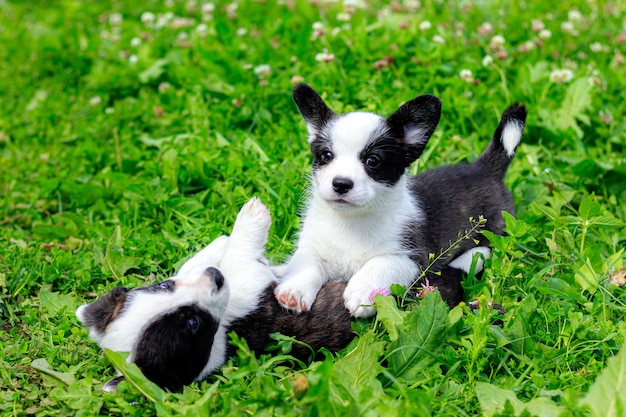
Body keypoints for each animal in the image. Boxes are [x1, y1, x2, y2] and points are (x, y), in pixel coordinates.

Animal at [75, 198, 354, 390]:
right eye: (192, 322)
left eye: (164, 286)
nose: (214, 274)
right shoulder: (252, 294)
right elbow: (239, 260)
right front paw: (250, 216)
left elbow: (191, 264)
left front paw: (218, 243)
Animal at [276, 83, 524, 316]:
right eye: (326, 155)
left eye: (373, 161)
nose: (341, 183)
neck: (352, 220)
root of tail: (484, 168)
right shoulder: (313, 247)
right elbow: (305, 263)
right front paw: (293, 290)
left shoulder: (409, 257)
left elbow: (380, 264)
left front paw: (363, 292)